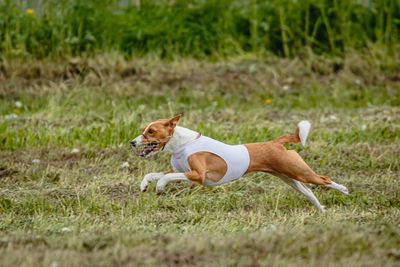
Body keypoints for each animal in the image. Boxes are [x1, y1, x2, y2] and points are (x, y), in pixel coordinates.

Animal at [130, 115, 346, 214]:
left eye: (151, 131)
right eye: (144, 130)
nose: (132, 142)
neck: (183, 144)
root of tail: (275, 142)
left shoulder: (198, 174)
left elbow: (166, 177)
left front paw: (159, 187)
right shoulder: (179, 171)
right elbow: (153, 174)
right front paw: (144, 185)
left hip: (299, 172)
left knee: (324, 179)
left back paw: (344, 189)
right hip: (289, 178)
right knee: (309, 192)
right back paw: (321, 210)